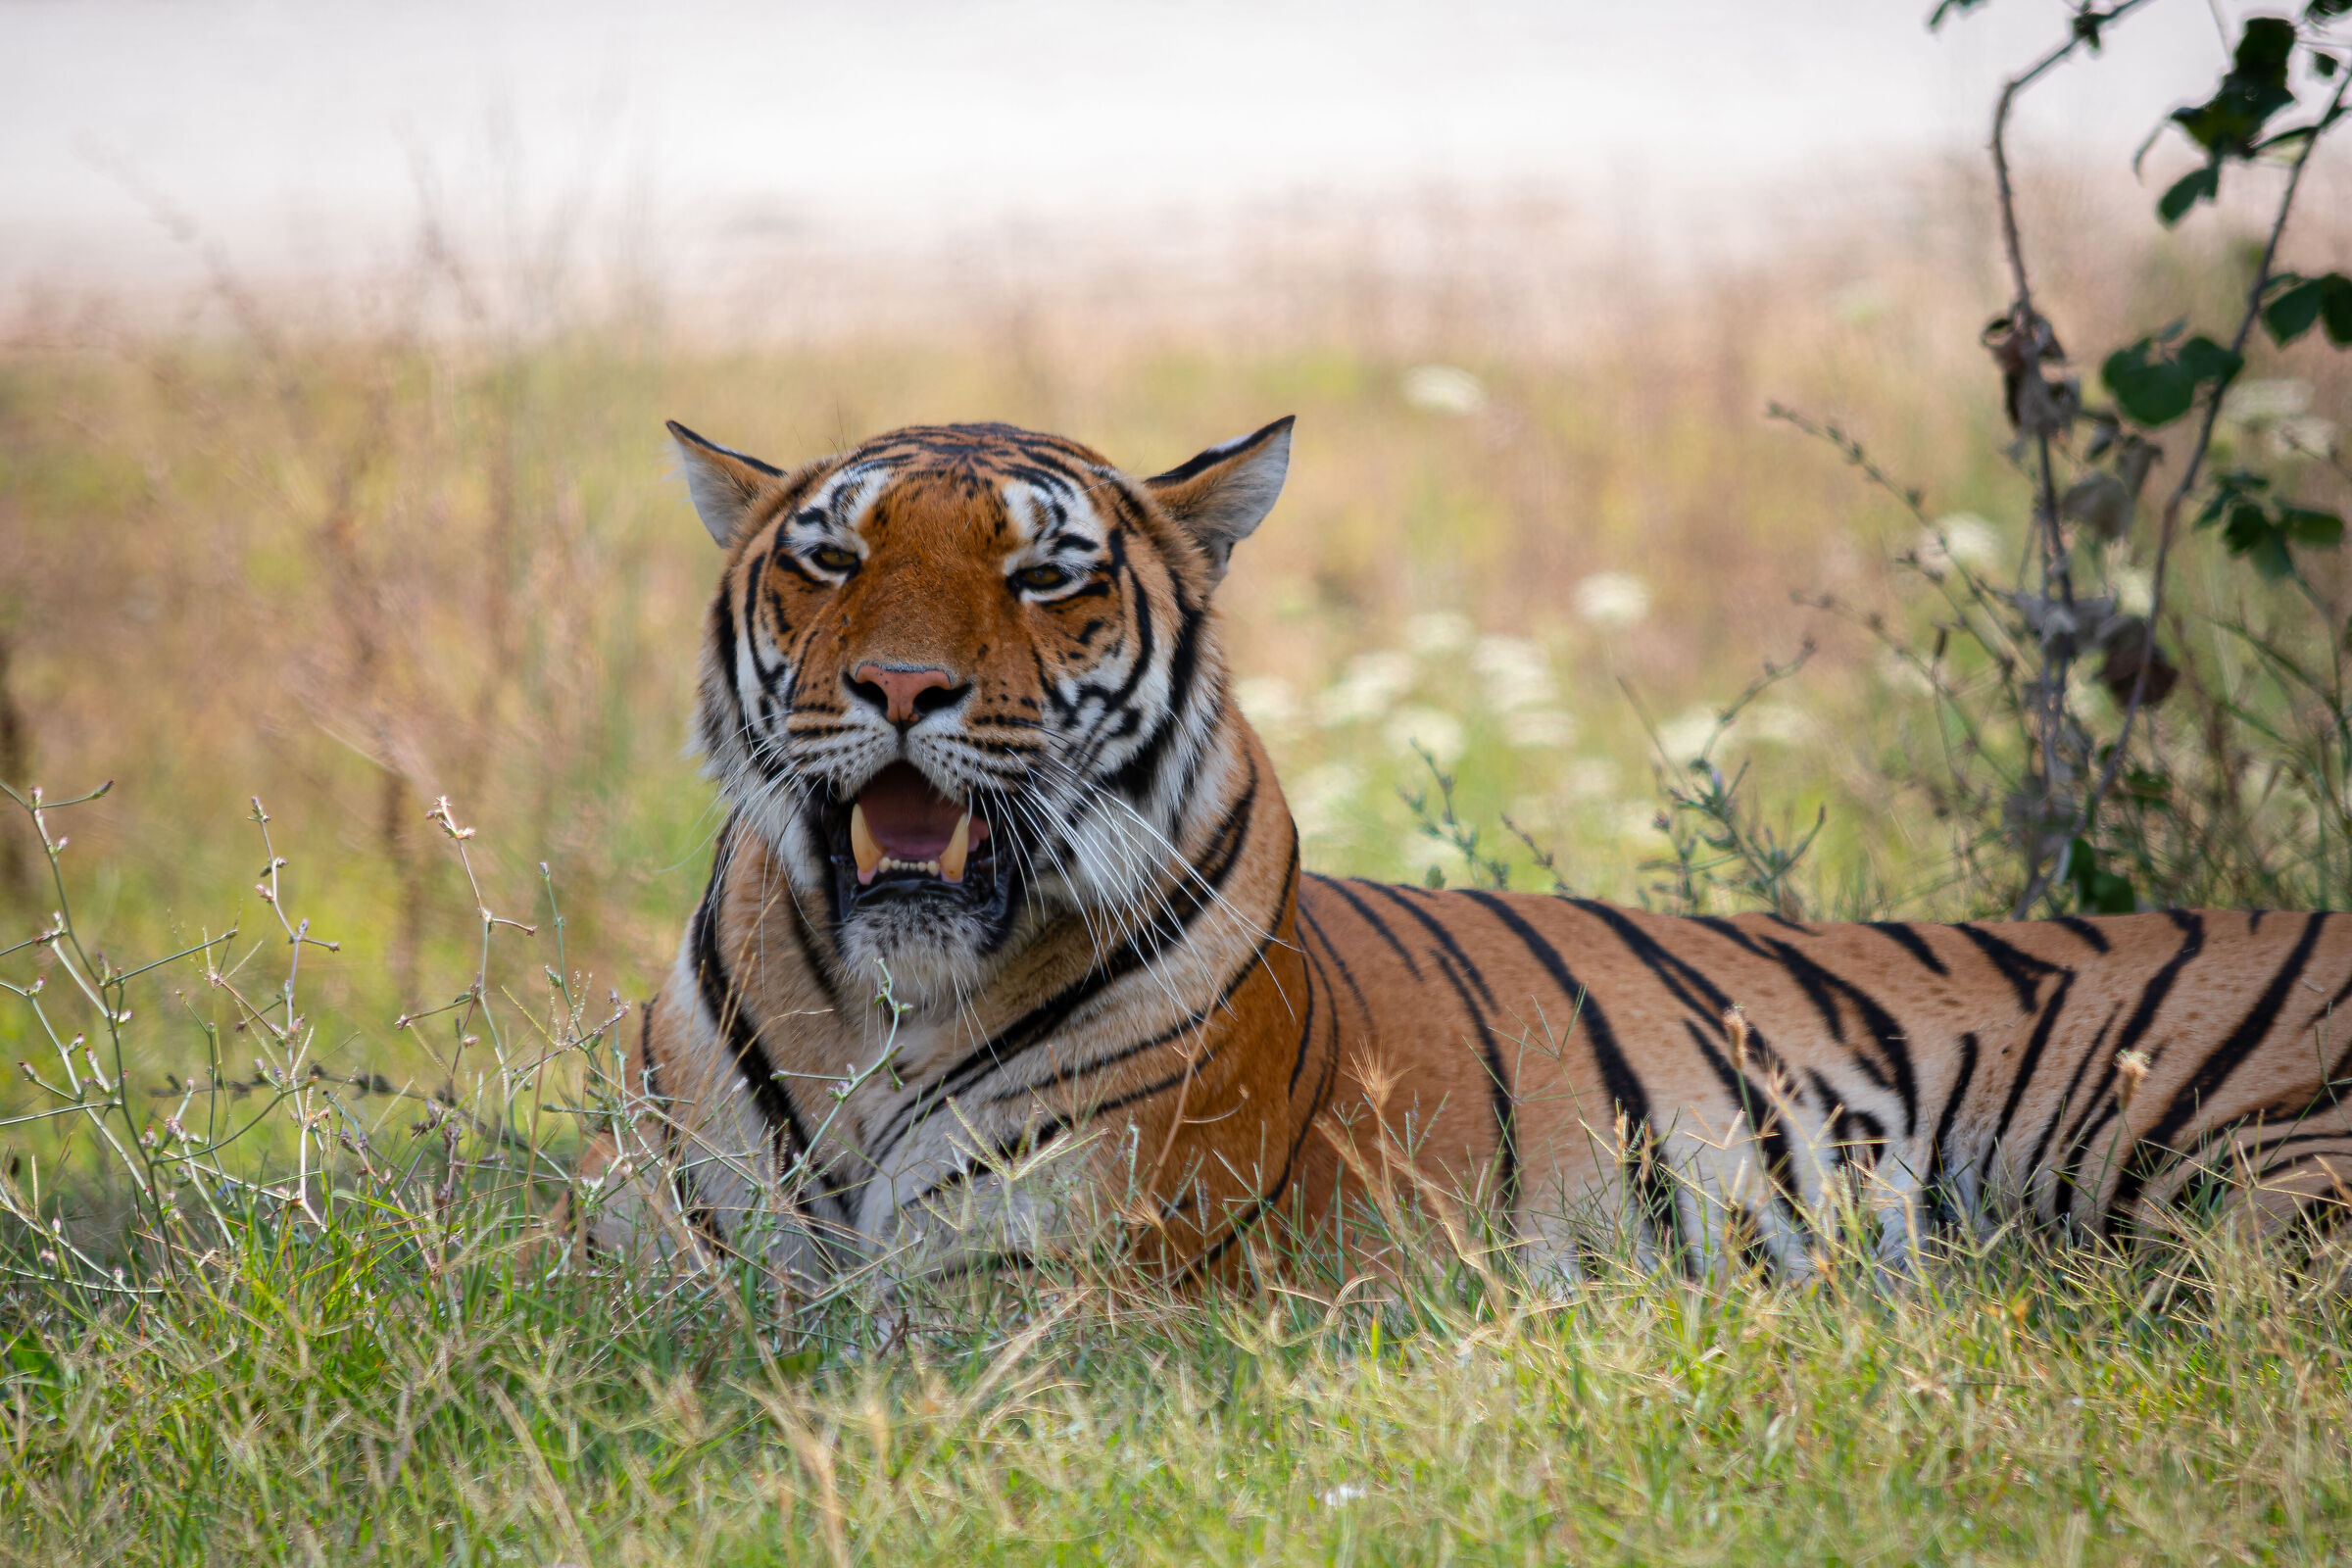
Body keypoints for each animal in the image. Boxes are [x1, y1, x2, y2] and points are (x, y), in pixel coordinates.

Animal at [572, 415, 2352, 1293]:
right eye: (830, 558)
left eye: (1045, 575)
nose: (897, 688)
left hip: (2243, 1188)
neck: (879, 1009)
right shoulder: (658, 1286)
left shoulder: (1026, 1298)